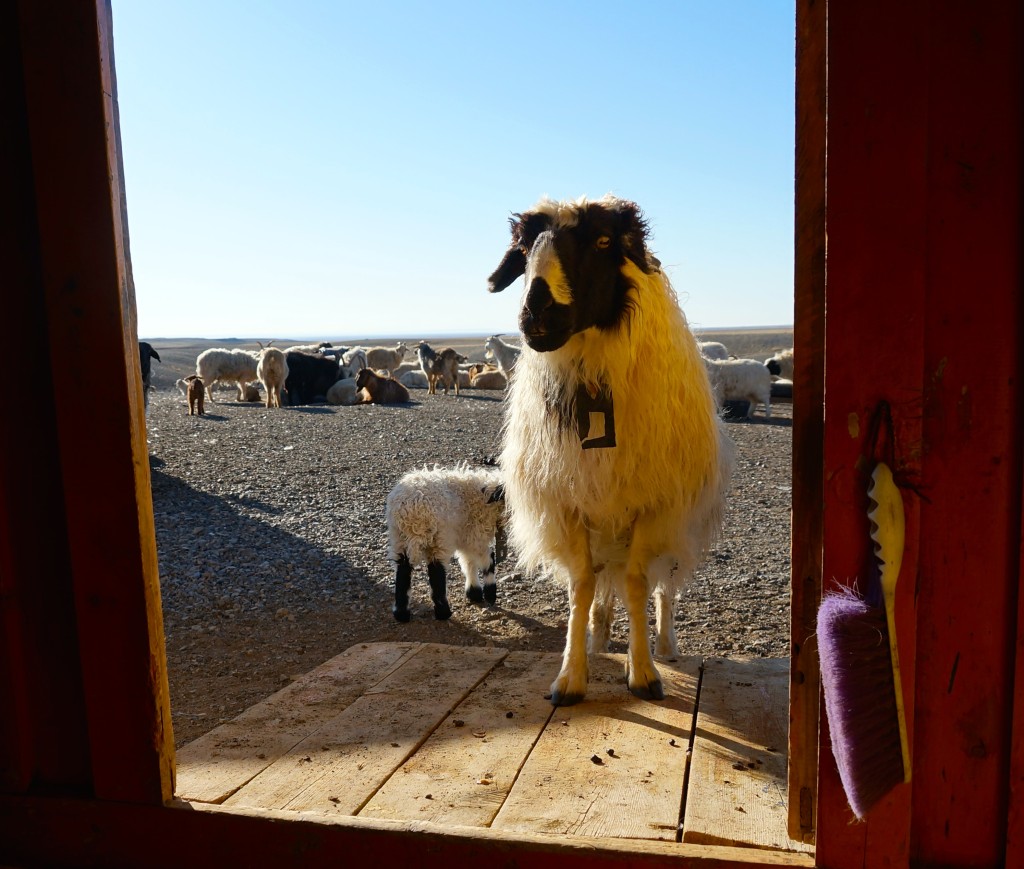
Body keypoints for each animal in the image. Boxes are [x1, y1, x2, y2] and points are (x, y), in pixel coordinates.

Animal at [385, 464, 505, 622]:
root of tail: (411, 508)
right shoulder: (474, 535)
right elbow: (487, 559)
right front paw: (489, 594)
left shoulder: (464, 536)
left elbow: (468, 562)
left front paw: (474, 593)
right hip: (439, 537)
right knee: (436, 571)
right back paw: (443, 612)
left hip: (399, 538)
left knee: (403, 569)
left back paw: (401, 613)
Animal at [485, 194, 733, 704]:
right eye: (524, 246)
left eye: (603, 241)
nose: (536, 315)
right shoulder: (570, 504)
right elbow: (581, 587)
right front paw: (571, 676)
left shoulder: (653, 506)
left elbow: (639, 585)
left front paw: (645, 674)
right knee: (603, 588)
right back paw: (599, 637)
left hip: (676, 523)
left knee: (663, 589)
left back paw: (665, 645)